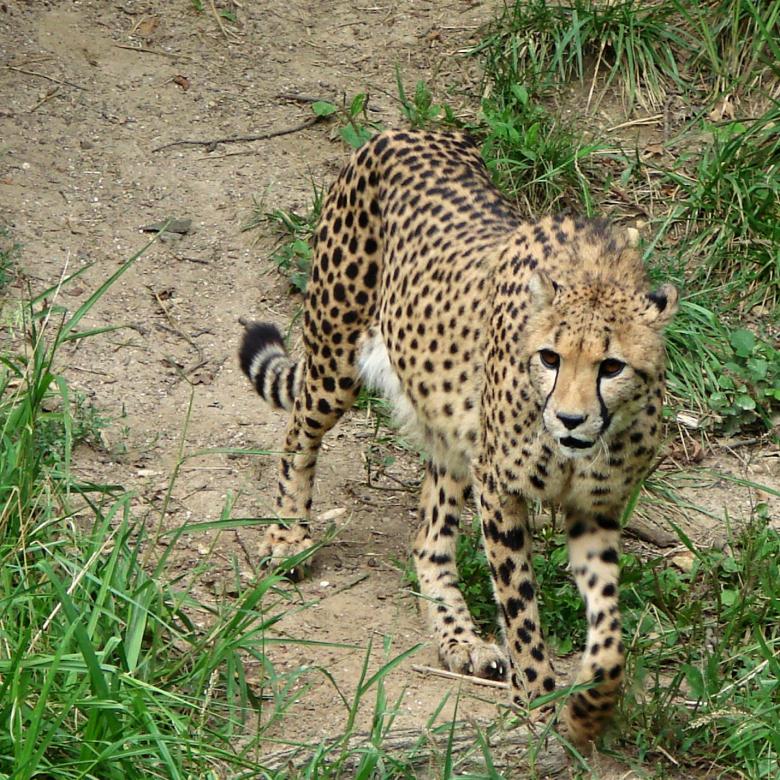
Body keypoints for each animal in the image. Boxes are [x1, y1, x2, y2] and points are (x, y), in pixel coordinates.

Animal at [239, 129, 677, 747]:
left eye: (611, 367)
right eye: (550, 358)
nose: (569, 420)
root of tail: (400, 130)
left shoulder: (596, 510)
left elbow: (610, 631)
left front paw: (590, 706)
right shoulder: (499, 489)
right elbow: (520, 605)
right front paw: (537, 697)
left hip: (450, 430)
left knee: (427, 538)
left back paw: (460, 639)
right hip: (335, 360)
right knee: (298, 432)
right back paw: (286, 537)